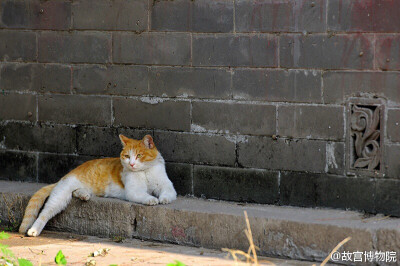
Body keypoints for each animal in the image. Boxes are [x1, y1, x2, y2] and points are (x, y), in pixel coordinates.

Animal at [19, 135, 177, 237]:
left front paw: (163, 199)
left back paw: (84, 195)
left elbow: (167, 193)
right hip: (61, 195)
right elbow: (145, 195)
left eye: (139, 155)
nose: (132, 164)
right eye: (127, 156)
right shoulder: (134, 191)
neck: (144, 171)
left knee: (76, 192)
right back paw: (34, 230)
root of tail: (68, 174)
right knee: (45, 212)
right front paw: (152, 199)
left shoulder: (167, 186)